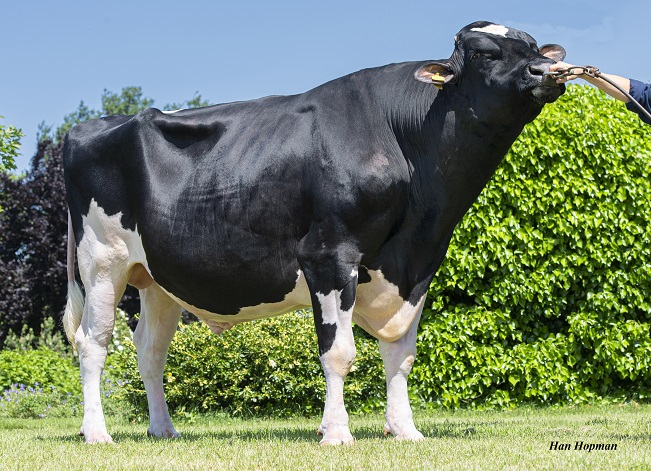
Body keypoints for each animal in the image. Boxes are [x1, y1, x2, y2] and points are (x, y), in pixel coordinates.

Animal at [62, 21, 566, 445]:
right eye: (482, 52)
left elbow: (400, 355)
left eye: (534, 48)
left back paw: (163, 430)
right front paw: (337, 434)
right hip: (102, 261)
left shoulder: (417, 268)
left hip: (156, 276)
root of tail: (87, 126)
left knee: (149, 350)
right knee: (93, 343)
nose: (548, 70)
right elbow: (338, 352)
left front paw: (405, 430)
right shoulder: (328, 254)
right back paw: (97, 433)